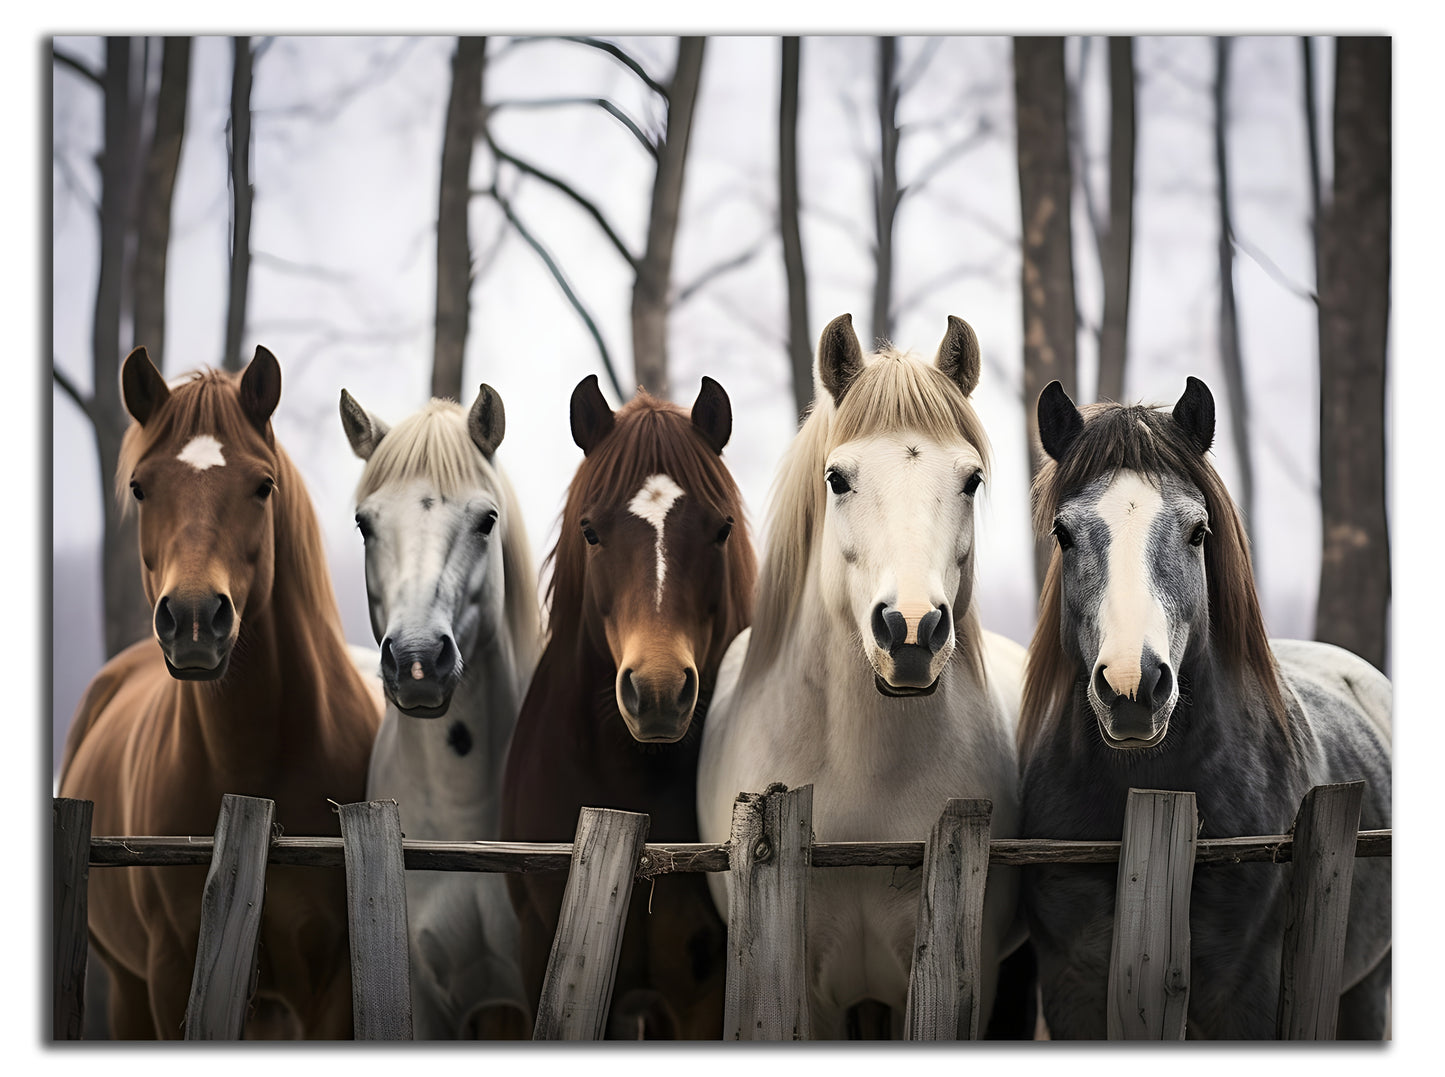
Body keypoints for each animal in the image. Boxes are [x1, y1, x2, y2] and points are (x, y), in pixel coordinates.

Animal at [59, 346, 384, 1038]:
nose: (192, 619)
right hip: (129, 986)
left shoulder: (334, 982)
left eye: (262, 485)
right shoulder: (170, 970)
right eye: (140, 486)